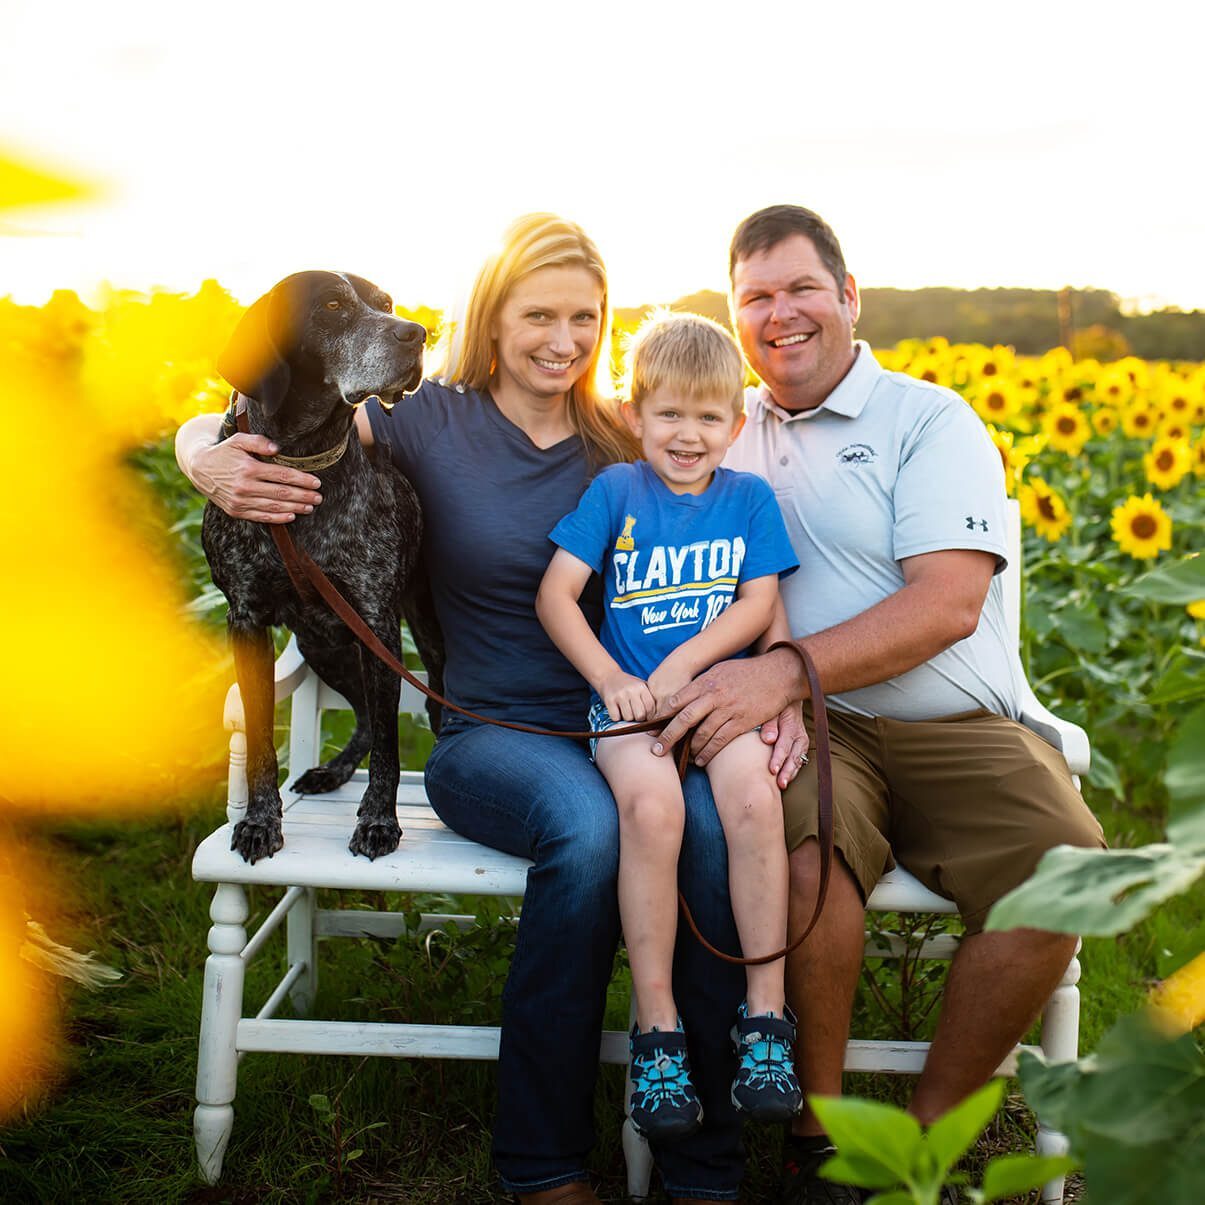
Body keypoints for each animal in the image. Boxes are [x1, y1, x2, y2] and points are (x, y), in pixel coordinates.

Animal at [202, 269, 448, 862]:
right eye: (333, 306)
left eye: (387, 303)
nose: (416, 333)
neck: (301, 457)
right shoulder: (246, 620)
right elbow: (260, 736)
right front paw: (260, 821)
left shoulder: (378, 621)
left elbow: (389, 746)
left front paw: (379, 820)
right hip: (323, 646)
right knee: (361, 717)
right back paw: (332, 771)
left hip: (418, 633)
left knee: (417, 709)